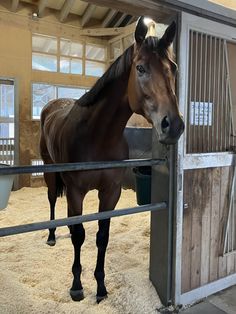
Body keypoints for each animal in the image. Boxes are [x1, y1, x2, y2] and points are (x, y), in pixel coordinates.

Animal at [40, 17, 184, 302]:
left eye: (173, 68)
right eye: (140, 68)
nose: (173, 125)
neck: (97, 135)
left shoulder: (110, 192)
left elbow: (101, 236)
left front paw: (101, 286)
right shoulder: (76, 191)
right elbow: (79, 234)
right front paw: (77, 286)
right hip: (51, 171)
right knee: (52, 199)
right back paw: (51, 235)